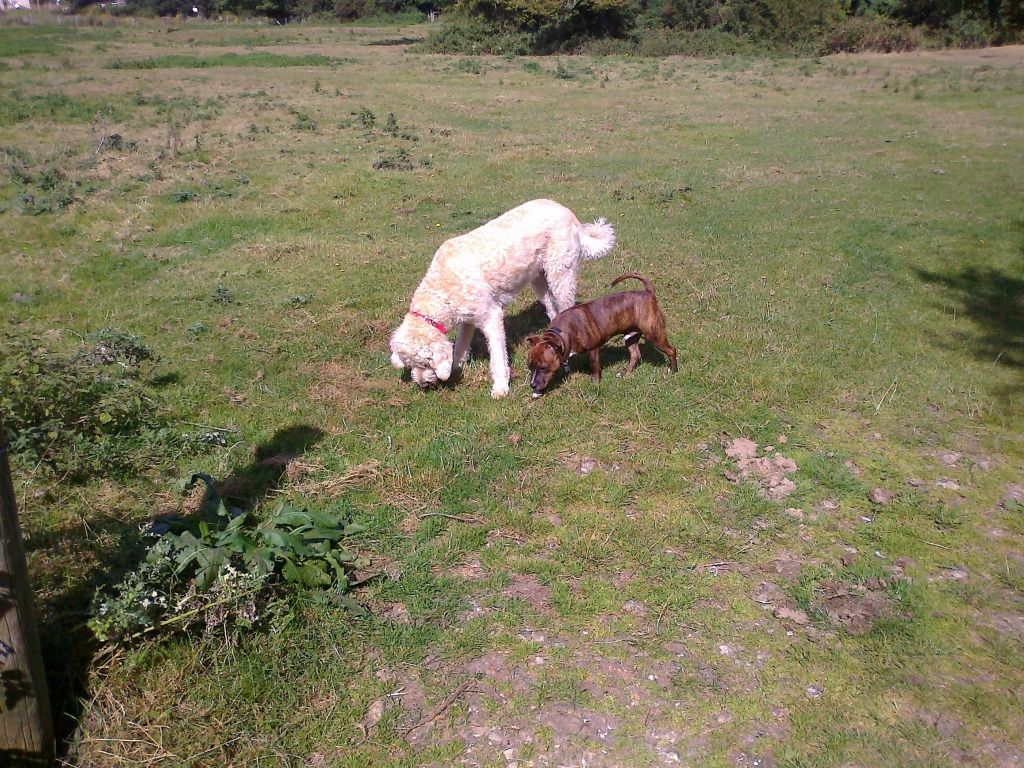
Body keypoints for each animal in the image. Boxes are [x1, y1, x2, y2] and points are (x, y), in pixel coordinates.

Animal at [391, 198, 614, 399]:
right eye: (411, 365)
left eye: (424, 363)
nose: (422, 385)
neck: (442, 288)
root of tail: (569, 214)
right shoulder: (467, 319)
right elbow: (461, 345)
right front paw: (457, 365)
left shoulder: (492, 316)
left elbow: (497, 357)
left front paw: (500, 388)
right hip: (540, 279)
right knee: (552, 309)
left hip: (561, 273)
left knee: (565, 306)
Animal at [524, 272, 675, 397]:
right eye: (529, 366)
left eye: (543, 367)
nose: (532, 385)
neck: (562, 333)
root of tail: (648, 293)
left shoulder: (593, 350)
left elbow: (594, 367)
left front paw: (595, 383)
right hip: (631, 336)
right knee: (635, 355)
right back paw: (625, 374)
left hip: (654, 335)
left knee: (671, 350)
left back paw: (672, 370)